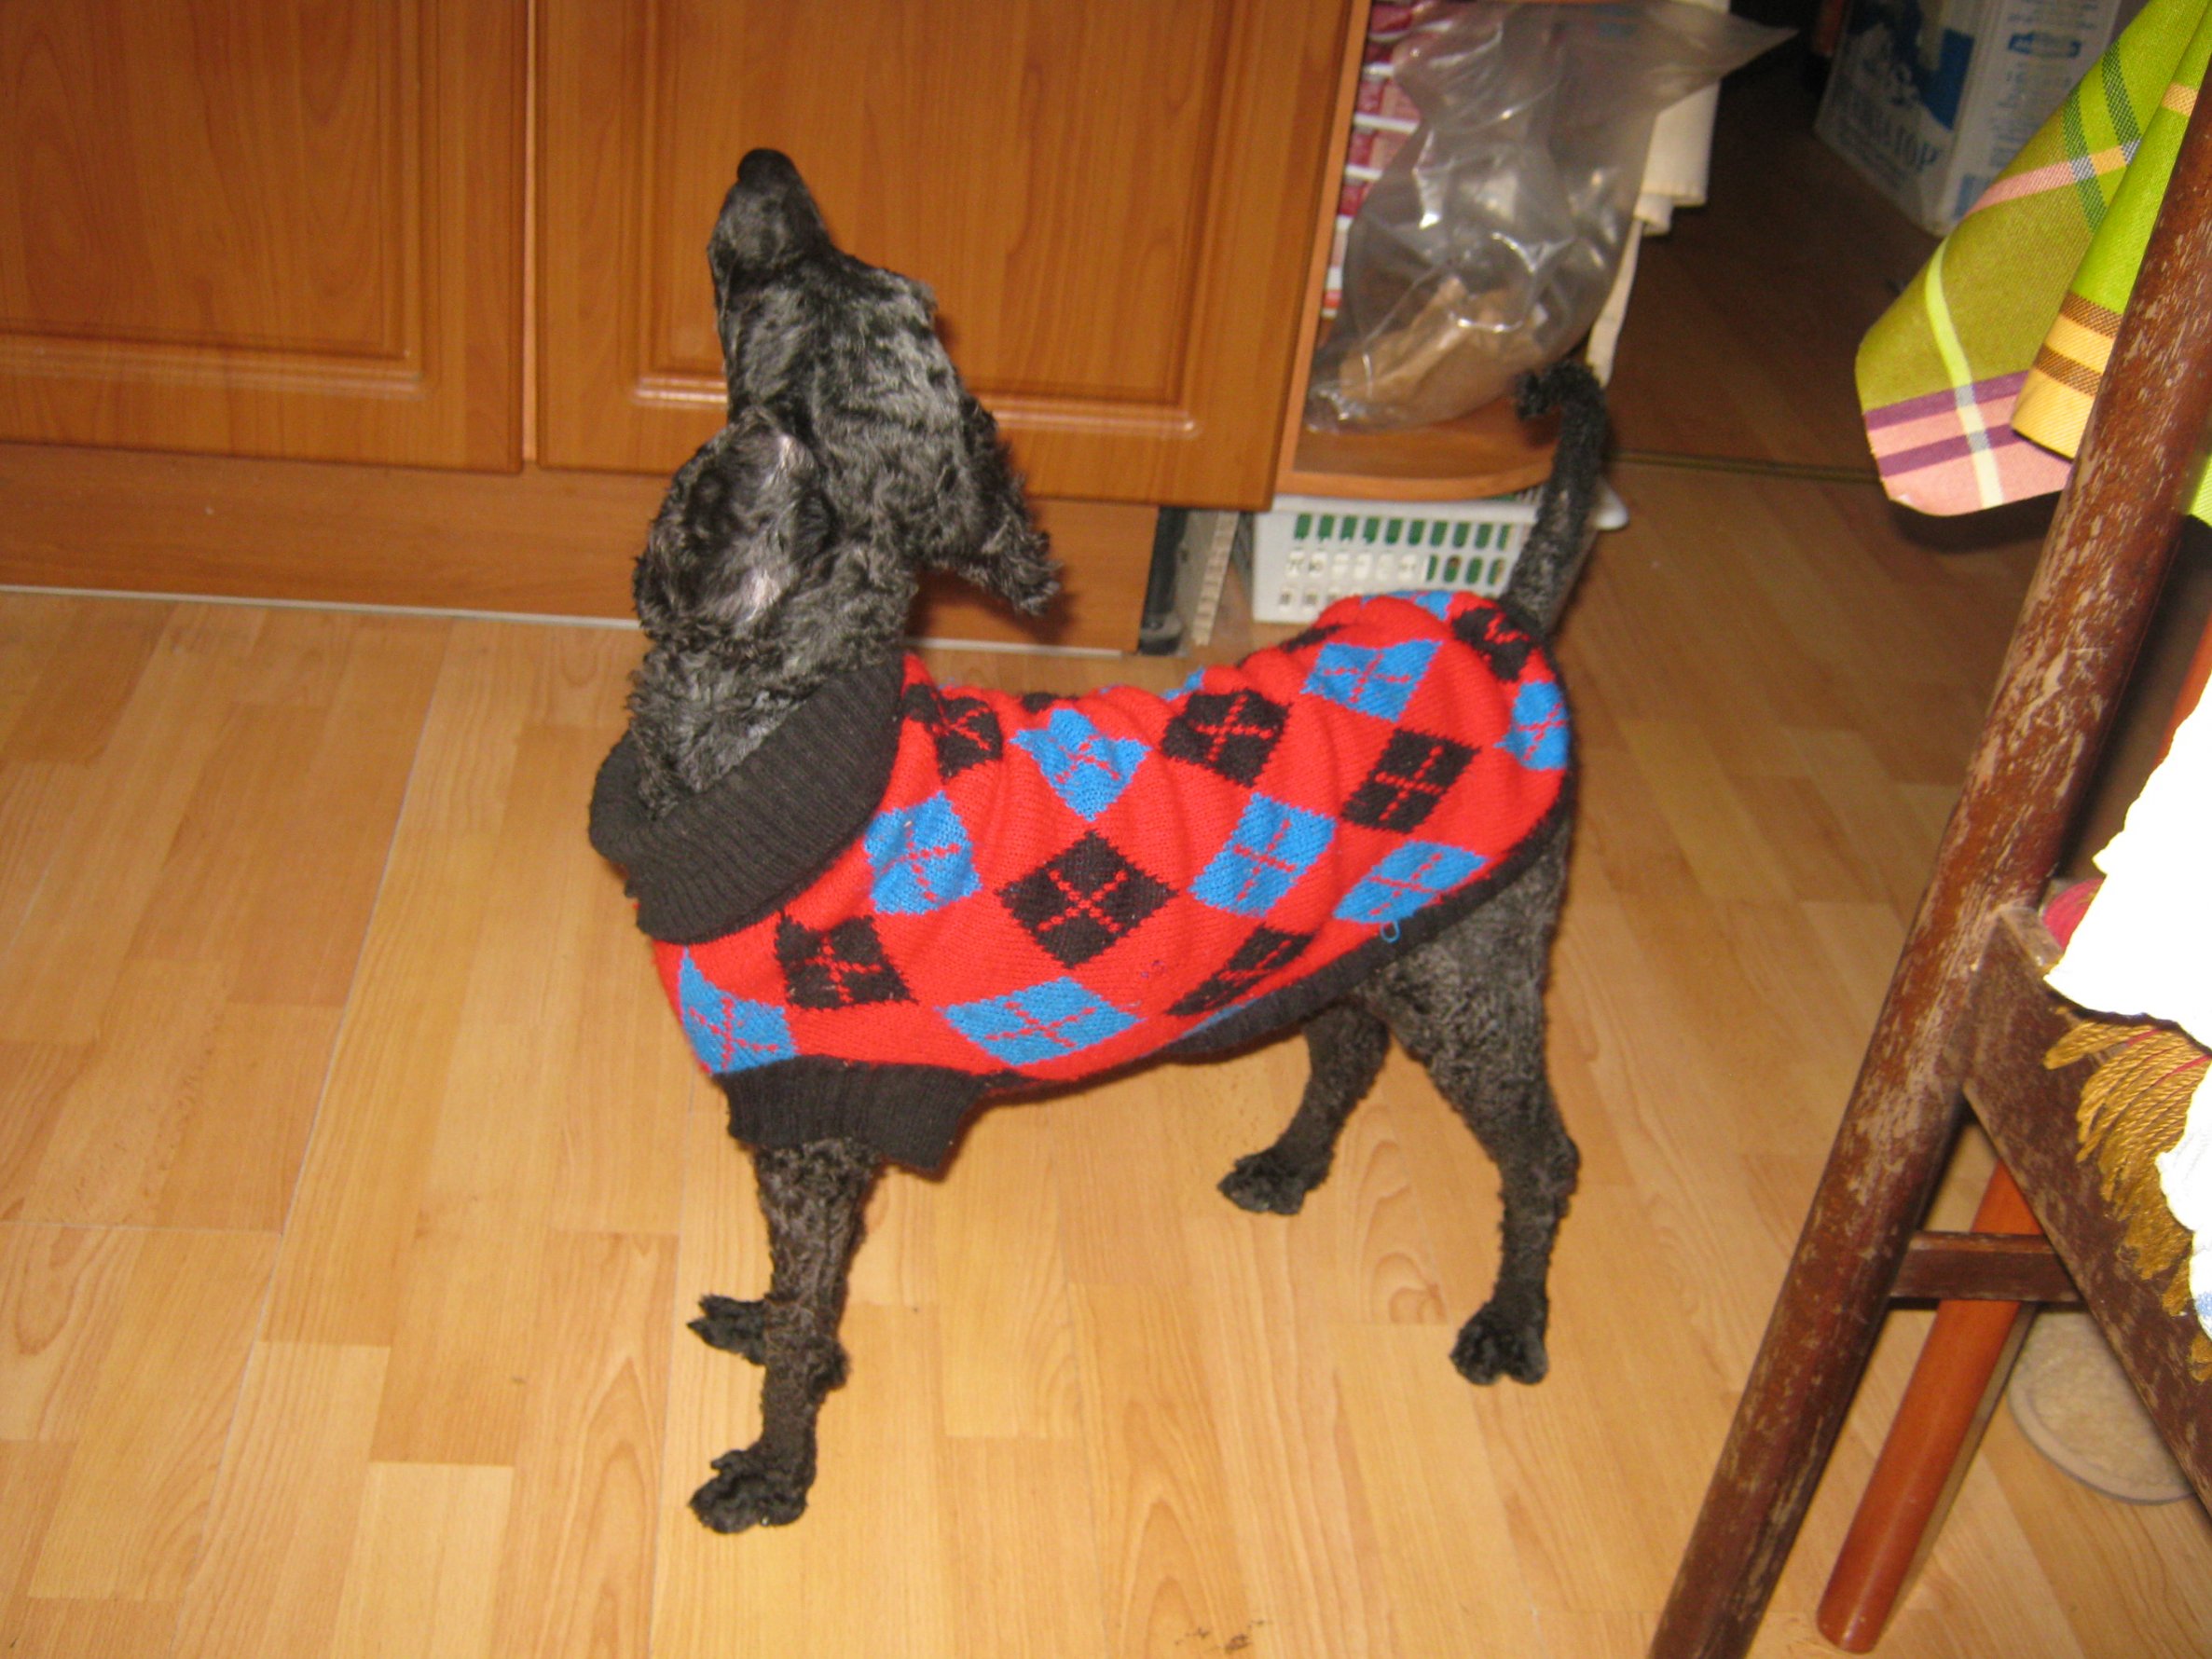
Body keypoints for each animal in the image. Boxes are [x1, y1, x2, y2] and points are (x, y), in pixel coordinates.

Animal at [590, 149, 1607, 1534]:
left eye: (806, 277)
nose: (766, 163)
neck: (779, 727)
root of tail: (1510, 620)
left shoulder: (811, 1130)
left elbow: (806, 1321)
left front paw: (775, 1463)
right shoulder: (809, 1143)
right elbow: (808, 1294)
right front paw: (772, 1333)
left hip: (1474, 985)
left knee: (1545, 1159)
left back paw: (1514, 1318)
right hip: (1366, 950)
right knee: (1347, 1054)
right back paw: (1291, 1165)